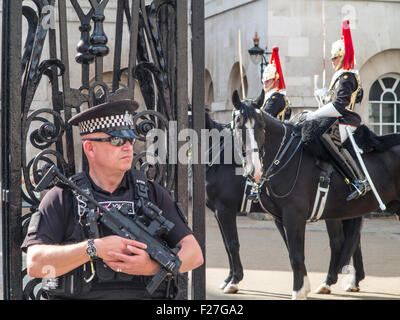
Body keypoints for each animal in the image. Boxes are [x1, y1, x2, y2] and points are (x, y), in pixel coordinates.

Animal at [208, 89, 368, 296]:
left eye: (261, 126)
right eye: (238, 125)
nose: (254, 172)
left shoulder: (225, 209)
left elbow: (232, 244)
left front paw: (234, 280)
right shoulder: (219, 211)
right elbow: (228, 245)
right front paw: (229, 278)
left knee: (339, 241)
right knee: (352, 240)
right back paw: (352, 280)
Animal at [233, 89, 400, 298]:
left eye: (262, 126)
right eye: (238, 125)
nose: (253, 171)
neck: (283, 157)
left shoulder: (294, 215)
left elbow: (296, 255)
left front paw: (298, 291)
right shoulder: (280, 218)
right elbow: (292, 251)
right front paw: (304, 287)